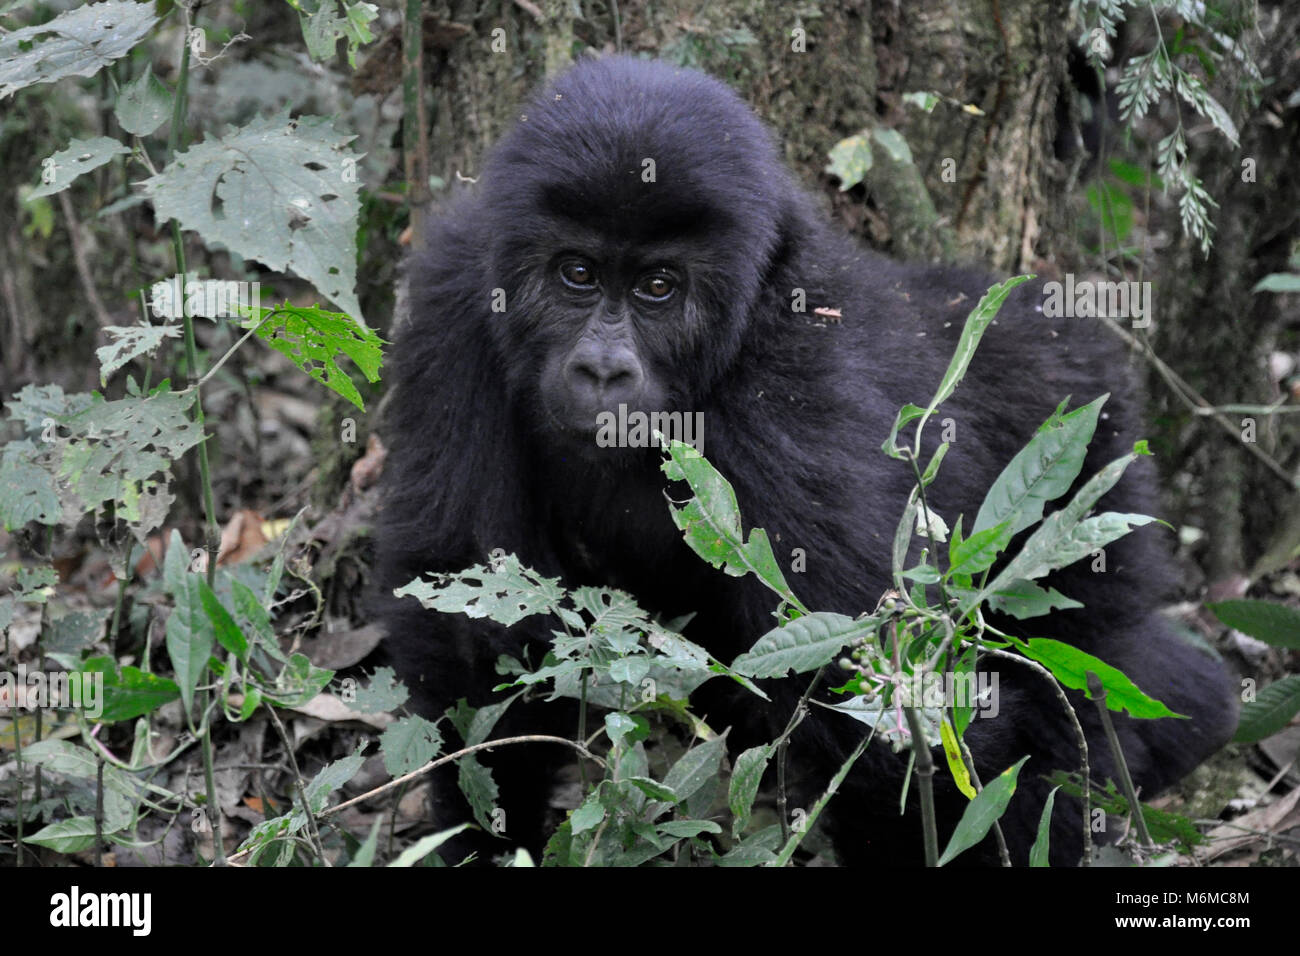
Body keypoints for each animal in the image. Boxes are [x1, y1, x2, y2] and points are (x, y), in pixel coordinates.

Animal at [377, 55, 1237, 868]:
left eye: (658, 287)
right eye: (577, 274)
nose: (602, 370)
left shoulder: (791, 373)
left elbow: (871, 693)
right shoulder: (454, 297)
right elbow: (471, 621)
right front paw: (487, 838)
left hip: (1099, 474)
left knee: (1112, 662)